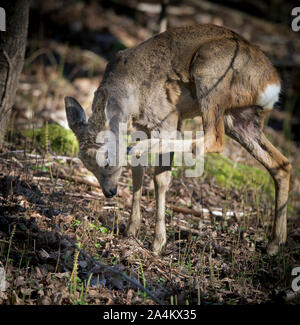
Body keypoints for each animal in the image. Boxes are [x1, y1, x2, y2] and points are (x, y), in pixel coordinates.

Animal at [65, 24, 290, 254]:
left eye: (106, 158)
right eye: (85, 164)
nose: (109, 192)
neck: (131, 101)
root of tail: (273, 85)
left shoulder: (168, 116)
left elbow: (161, 179)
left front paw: (158, 243)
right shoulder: (141, 126)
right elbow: (138, 172)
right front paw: (131, 230)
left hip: (210, 74)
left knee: (213, 140)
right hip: (239, 118)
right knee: (281, 163)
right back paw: (275, 243)